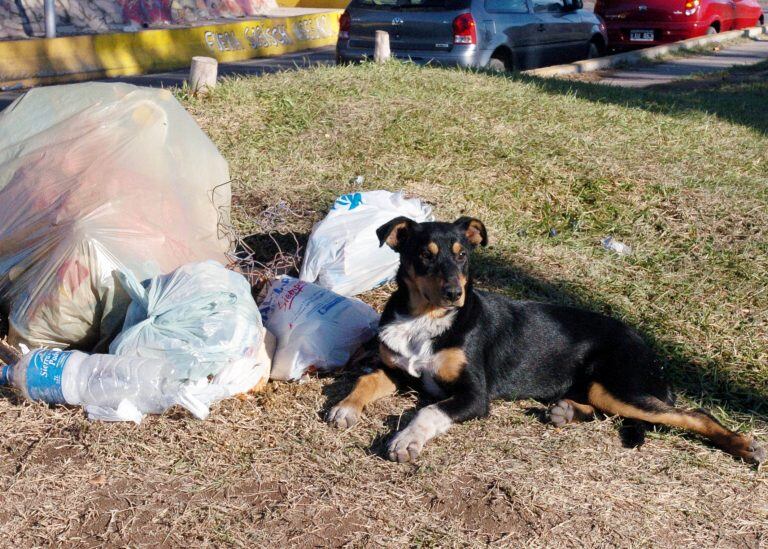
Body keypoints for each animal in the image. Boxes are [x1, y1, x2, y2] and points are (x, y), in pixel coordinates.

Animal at [328, 216, 764, 464]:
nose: (455, 293)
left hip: (621, 385)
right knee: (606, 410)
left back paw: (745, 447)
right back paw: (565, 411)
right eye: (425, 254)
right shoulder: (399, 370)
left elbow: (428, 412)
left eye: (462, 254)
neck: (426, 319)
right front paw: (345, 408)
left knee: (694, 414)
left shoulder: (475, 395)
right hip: (604, 389)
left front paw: (405, 440)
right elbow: (366, 379)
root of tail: (649, 347)